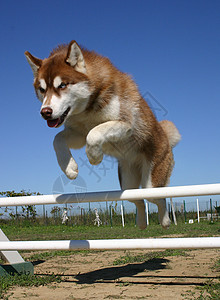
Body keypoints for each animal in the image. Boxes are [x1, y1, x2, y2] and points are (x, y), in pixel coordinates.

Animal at [25, 41, 180, 230]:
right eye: (42, 89)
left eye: (62, 85)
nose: (45, 112)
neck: (86, 111)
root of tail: (166, 137)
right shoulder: (78, 133)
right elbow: (57, 140)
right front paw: (69, 168)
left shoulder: (125, 124)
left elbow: (94, 133)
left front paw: (94, 157)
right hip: (127, 183)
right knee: (138, 200)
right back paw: (142, 222)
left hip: (152, 181)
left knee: (160, 198)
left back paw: (165, 220)